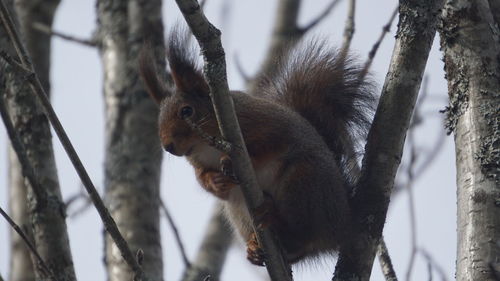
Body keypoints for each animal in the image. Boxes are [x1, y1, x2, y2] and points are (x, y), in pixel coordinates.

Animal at [139, 29, 374, 266]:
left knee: (302, 234)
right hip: (238, 210)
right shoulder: (197, 162)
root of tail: (343, 225)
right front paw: (215, 181)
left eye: (187, 111)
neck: (206, 145)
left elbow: (268, 144)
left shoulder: (264, 124)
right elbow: (202, 178)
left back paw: (274, 217)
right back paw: (255, 248)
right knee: (295, 250)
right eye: (159, 120)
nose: (168, 146)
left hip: (305, 183)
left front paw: (236, 162)